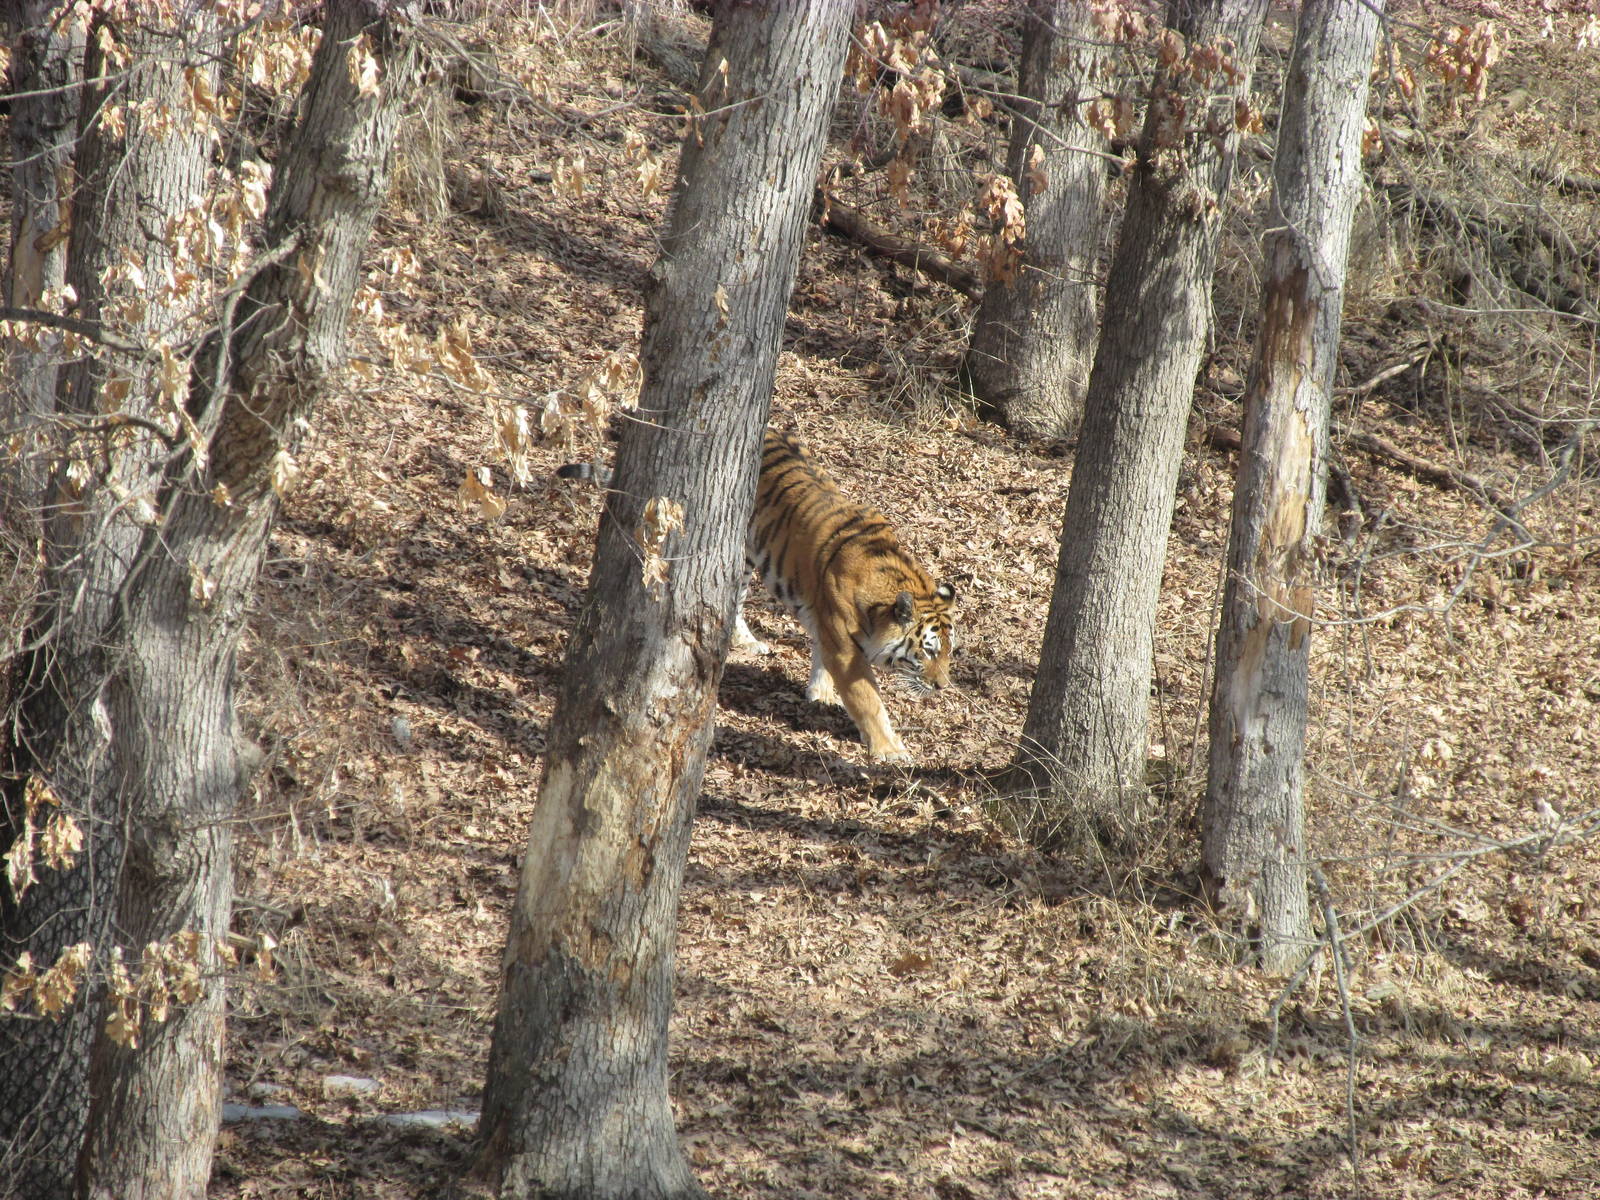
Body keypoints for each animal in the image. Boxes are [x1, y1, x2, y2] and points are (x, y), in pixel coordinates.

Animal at [558, 427, 956, 763]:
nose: (942, 687)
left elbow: (820, 653)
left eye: (949, 653)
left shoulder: (825, 619)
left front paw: (820, 694)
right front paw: (890, 750)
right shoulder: (845, 645)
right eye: (928, 651)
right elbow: (868, 700)